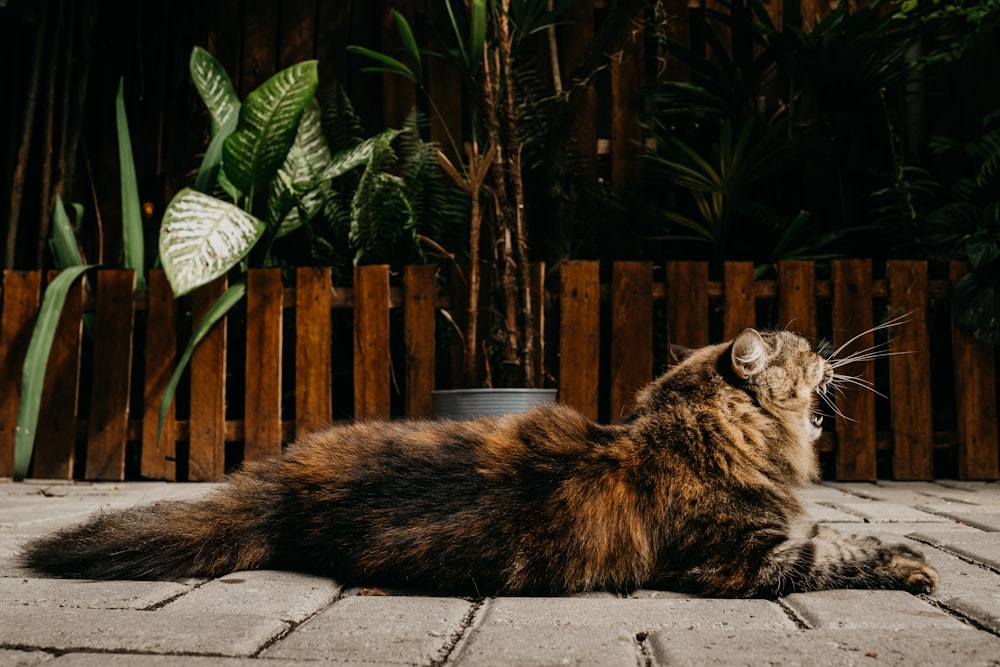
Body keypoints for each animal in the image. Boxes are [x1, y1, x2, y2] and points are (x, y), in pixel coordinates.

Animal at [19, 328, 936, 600]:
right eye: (808, 350)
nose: (832, 357)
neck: (691, 430)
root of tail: (282, 480)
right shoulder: (741, 556)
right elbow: (840, 549)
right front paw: (911, 560)